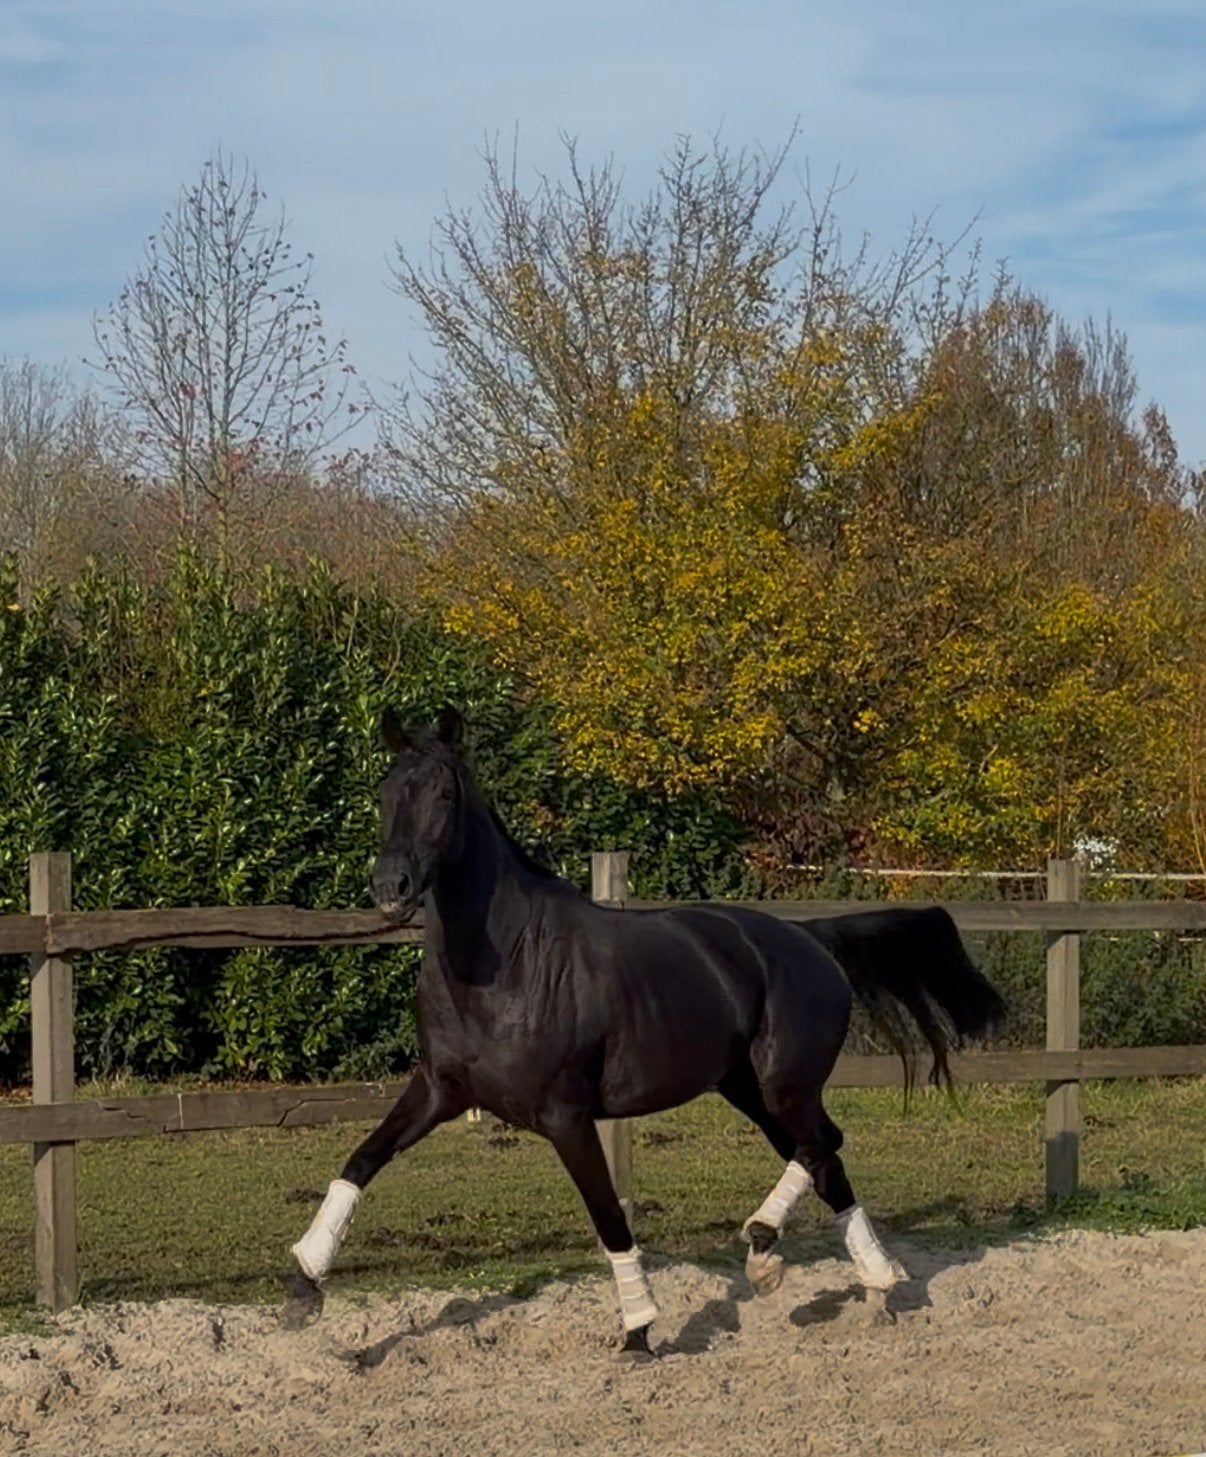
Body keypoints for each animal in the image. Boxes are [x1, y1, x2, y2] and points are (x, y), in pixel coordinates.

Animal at [284, 708, 1005, 1352]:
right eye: (385, 792)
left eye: (443, 793)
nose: (391, 886)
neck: (506, 964)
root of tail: (811, 940)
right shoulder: (439, 1089)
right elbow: (361, 1159)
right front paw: (303, 1284)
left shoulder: (566, 1116)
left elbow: (607, 1214)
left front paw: (638, 1329)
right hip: (747, 1090)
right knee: (823, 1155)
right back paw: (841, 1276)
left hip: (784, 1086)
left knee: (822, 1144)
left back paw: (794, 1252)